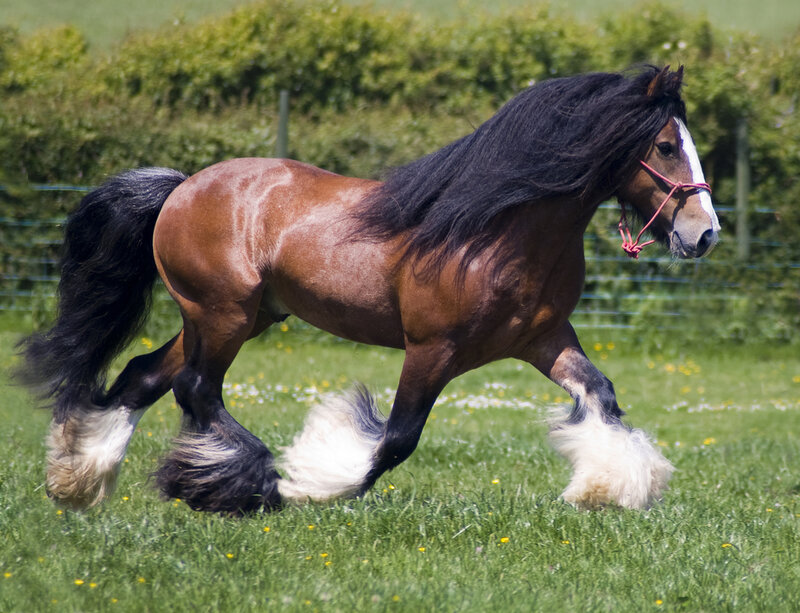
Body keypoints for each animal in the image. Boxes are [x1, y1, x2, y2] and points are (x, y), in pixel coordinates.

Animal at [17, 65, 719, 514]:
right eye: (665, 145)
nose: (705, 233)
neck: (500, 230)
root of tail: (182, 187)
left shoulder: (543, 339)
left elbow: (601, 394)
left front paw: (604, 489)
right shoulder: (433, 348)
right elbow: (397, 438)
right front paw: (313, 481)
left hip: (239, 316)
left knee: (144, 375)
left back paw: (79, 481)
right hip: (222, 314)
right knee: (195, 388)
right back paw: (244, 485)